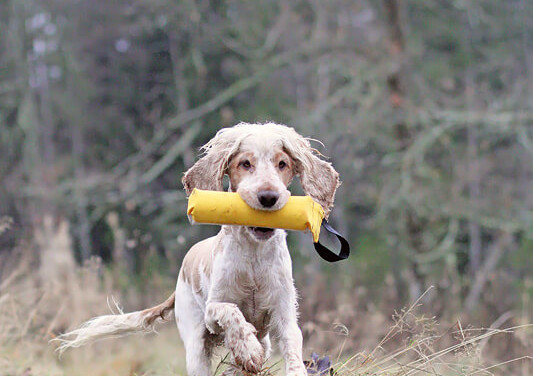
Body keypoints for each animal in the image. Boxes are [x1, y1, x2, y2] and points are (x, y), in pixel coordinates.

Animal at [57, 122, 340, 374]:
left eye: (282, 164)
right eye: (245, 163)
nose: (268, 197)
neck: (253, 258)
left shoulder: (284, 315)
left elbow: (292, 352)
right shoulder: (213, 312)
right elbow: (231, 311)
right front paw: (247, 349)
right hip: (195, 346)